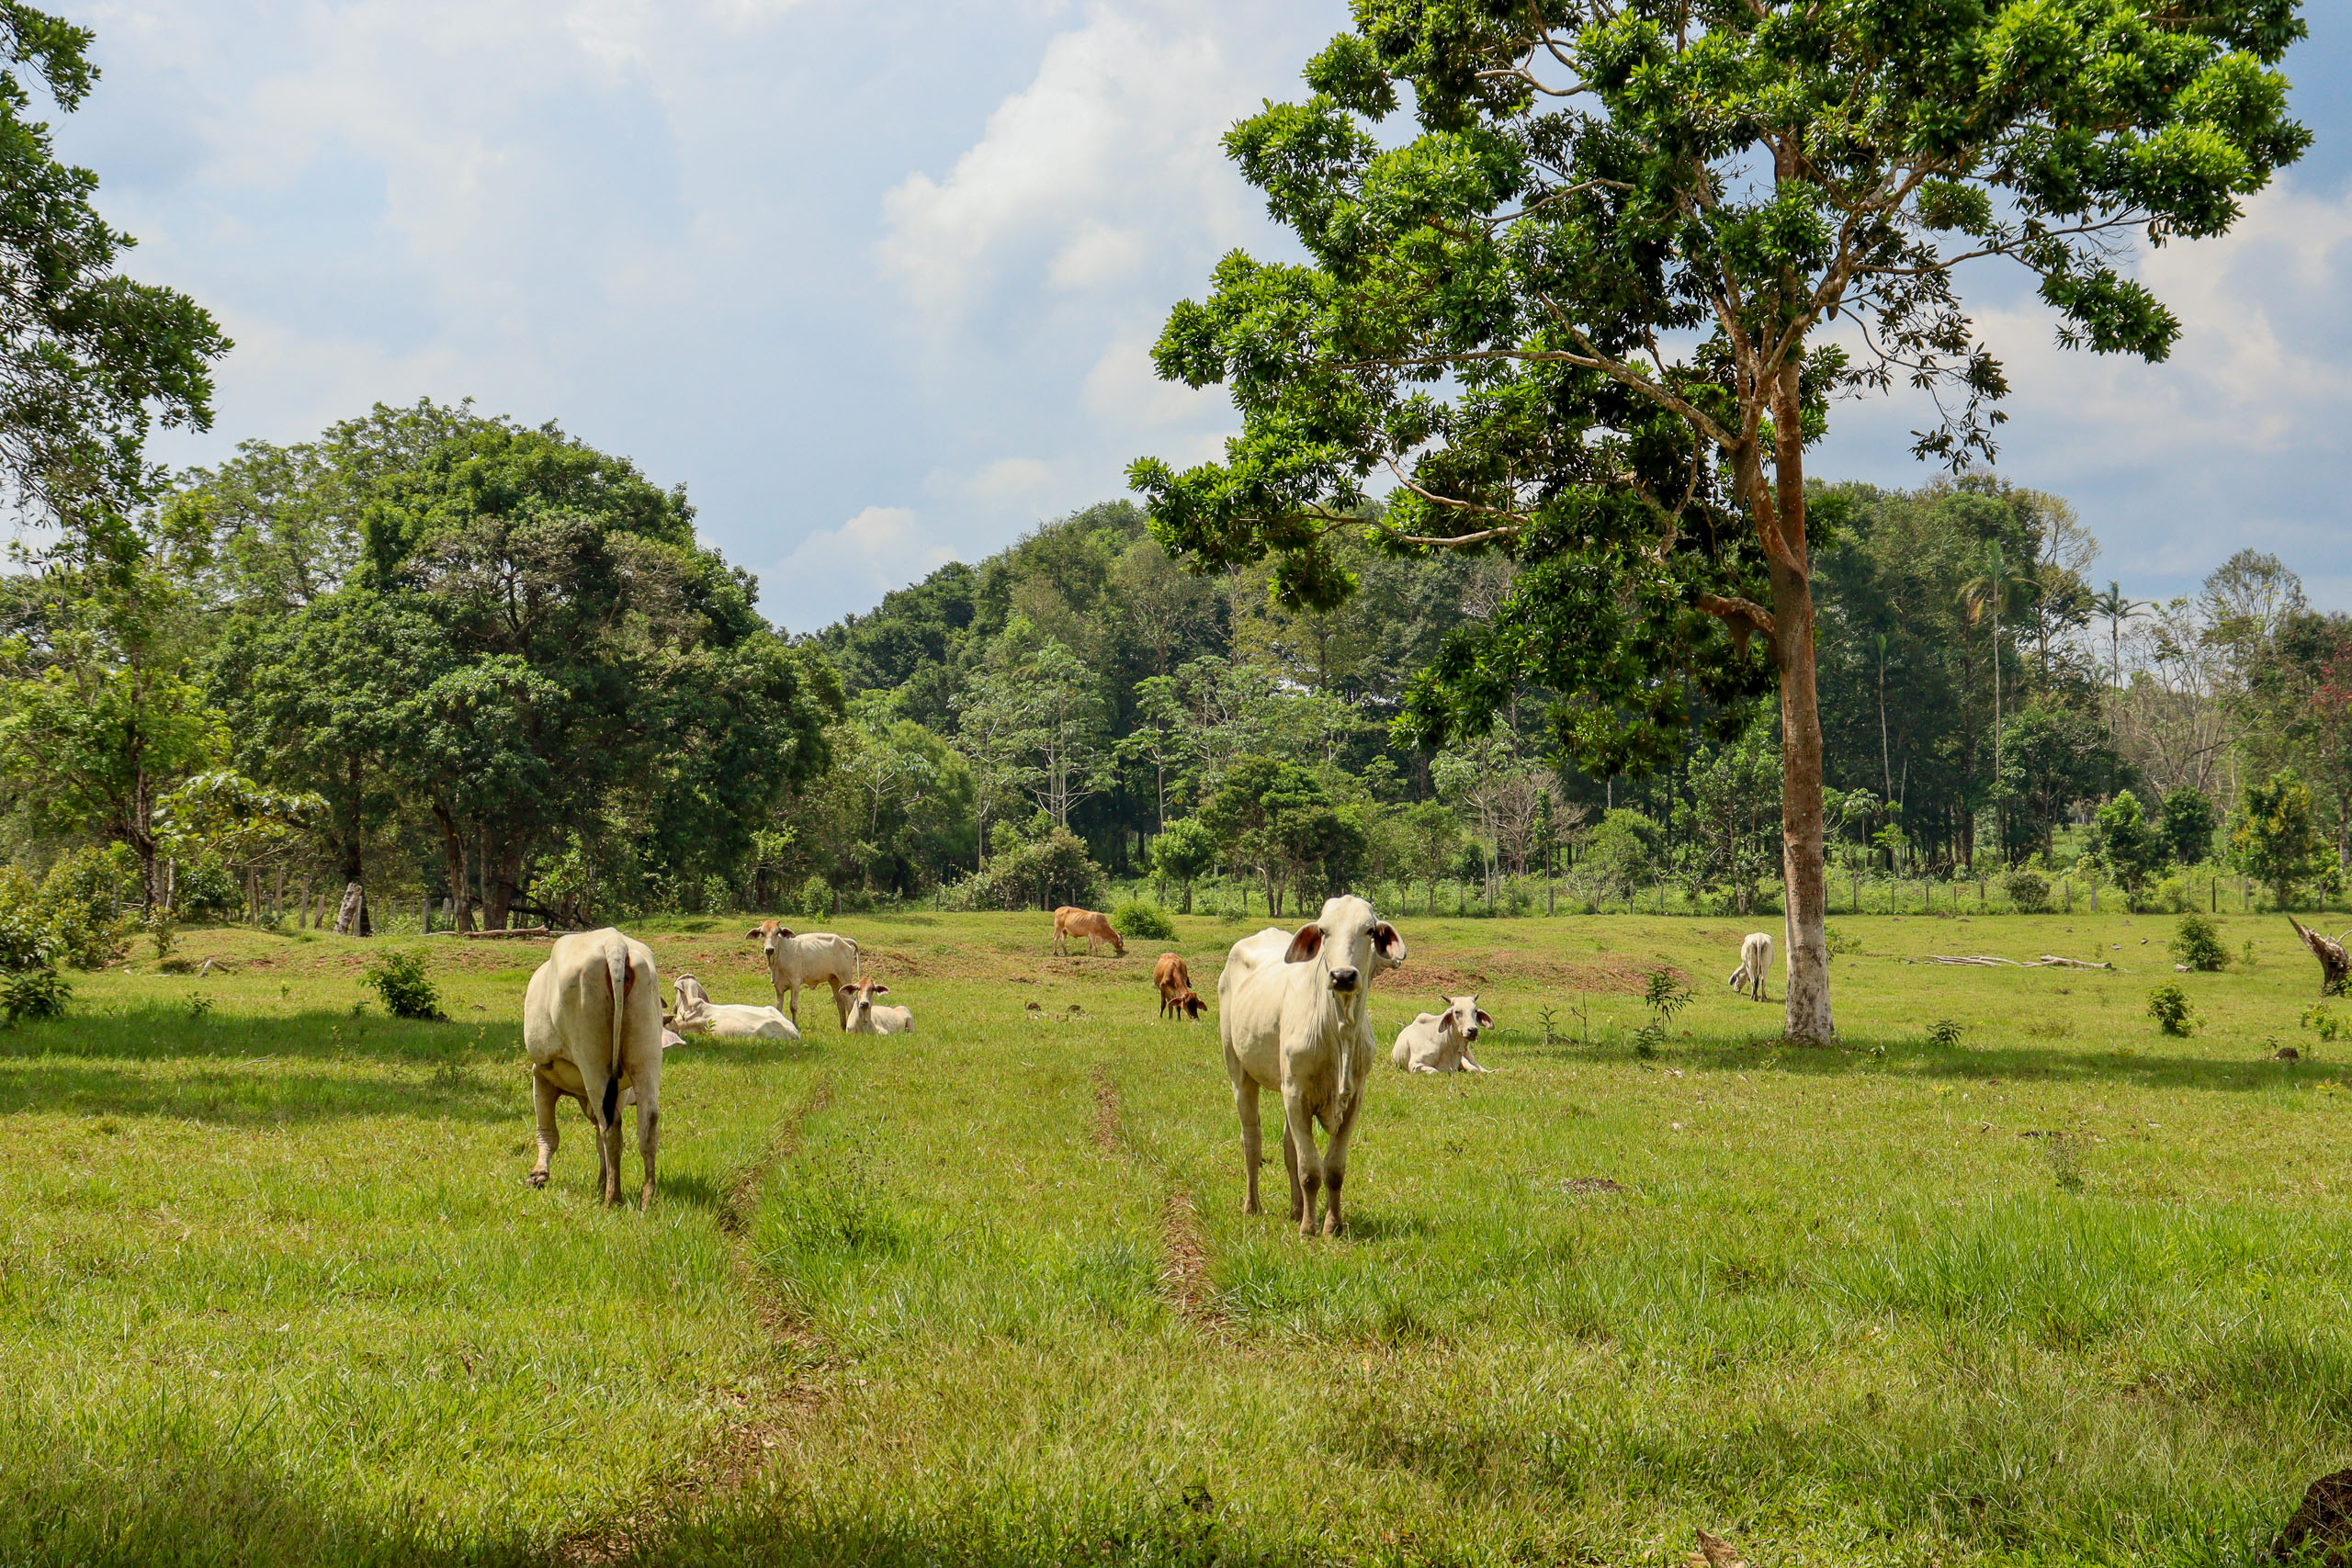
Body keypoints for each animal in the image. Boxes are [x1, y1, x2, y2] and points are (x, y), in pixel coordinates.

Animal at [523, 928, 665, 1207]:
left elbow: (547, 1131)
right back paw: (647, 1199)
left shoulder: (541, 1073)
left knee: (611, 1127)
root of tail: (615, 943)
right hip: (647, 1054)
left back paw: (613, 1199)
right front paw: (601, 1180)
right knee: (647, 1122)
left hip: (592, 1060)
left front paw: (539, 1174)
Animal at [1218, 894, 1406, 1237]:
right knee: (1251, 1140)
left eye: (1370, 930)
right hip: (1239, 1072)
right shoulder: (1296, 1092)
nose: (1343, 976)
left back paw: (1296, 1209)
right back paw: (1253, 1206)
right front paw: (1308, 1229)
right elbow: (1309, 1169)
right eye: (1323, 931)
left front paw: (1332, 1225)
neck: (1340, 1030)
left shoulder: (1354, 1098)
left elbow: (1332, 1169)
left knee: (1287, 1147)